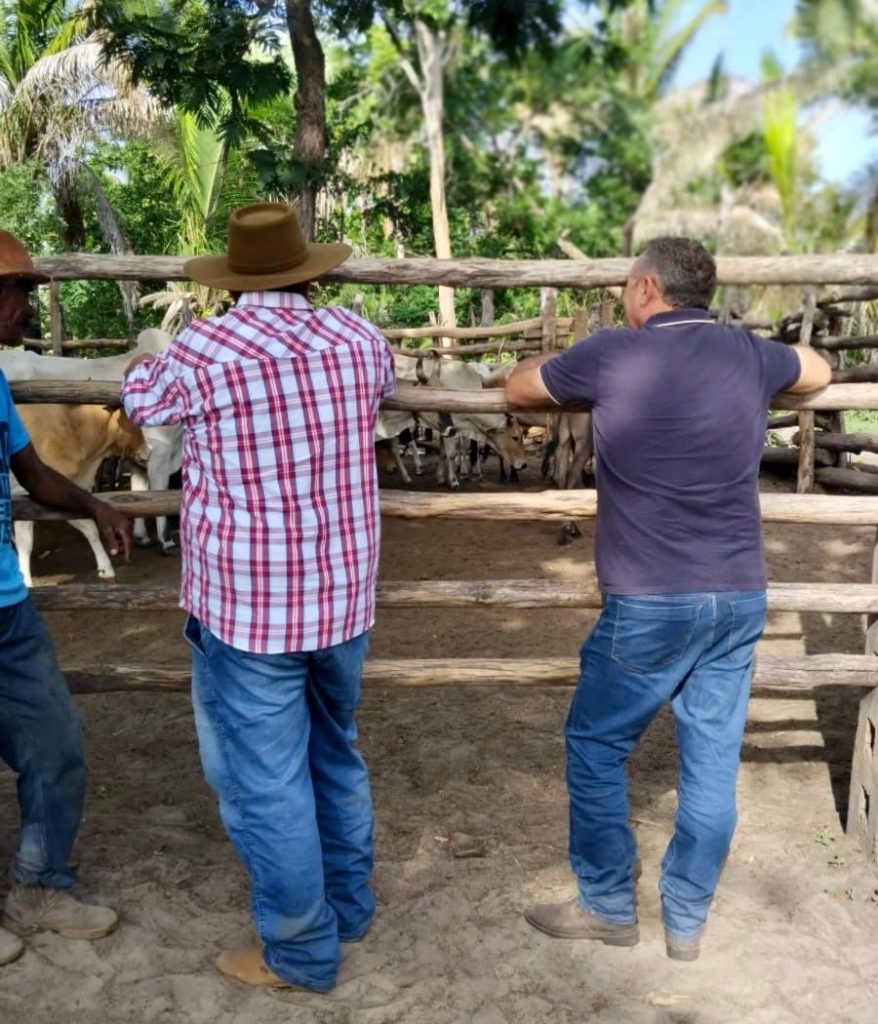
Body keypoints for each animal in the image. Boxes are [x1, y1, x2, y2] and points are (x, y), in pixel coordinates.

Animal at [13, 404, 147, 584]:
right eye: (133, 418)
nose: (149, 450)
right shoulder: (25, 496)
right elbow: (25, 543)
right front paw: (26, 581)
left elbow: (89, 527)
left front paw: (105, 568)